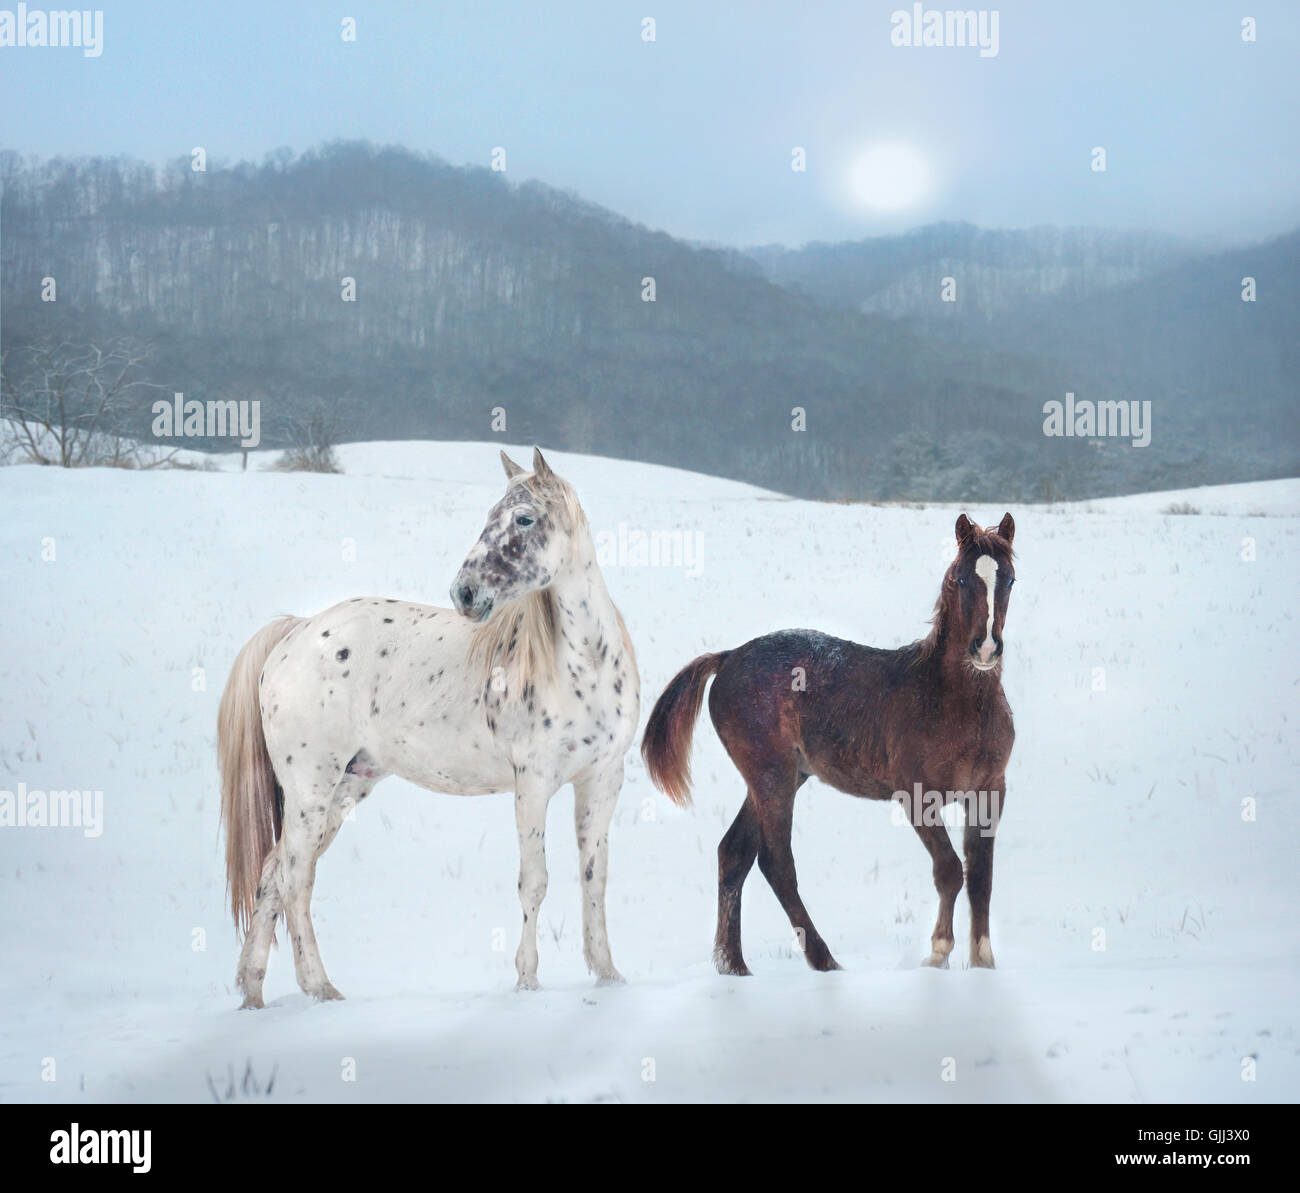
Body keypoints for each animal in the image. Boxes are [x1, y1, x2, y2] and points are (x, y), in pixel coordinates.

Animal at [220, 447, 642, 1008]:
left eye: (523, 519)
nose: (464, 592)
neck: (583, 667)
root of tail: (297, 632)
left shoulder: (602, 779)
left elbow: (594, 879)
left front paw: (608, 975)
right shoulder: (533, 785)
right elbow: (534, 881)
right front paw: (528, 982)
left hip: (343, 790)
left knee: (271, 875)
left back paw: (253, 994)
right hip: (311, 789)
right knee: (294, 880)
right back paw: (320, 988)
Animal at [639, 514, 1013, 982]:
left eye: (1009, 579)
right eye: (962, 578)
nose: (986, 648)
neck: (950, 700)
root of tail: (727, 658)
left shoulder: (989, 792)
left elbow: (981, 875)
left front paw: (983, 963)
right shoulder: (917, 797)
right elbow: (949, 871)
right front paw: (937, 955)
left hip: (780, 778)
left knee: (734, 852)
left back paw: (735, 967)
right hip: (773, 776)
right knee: (775, 862)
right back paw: (824, 960)